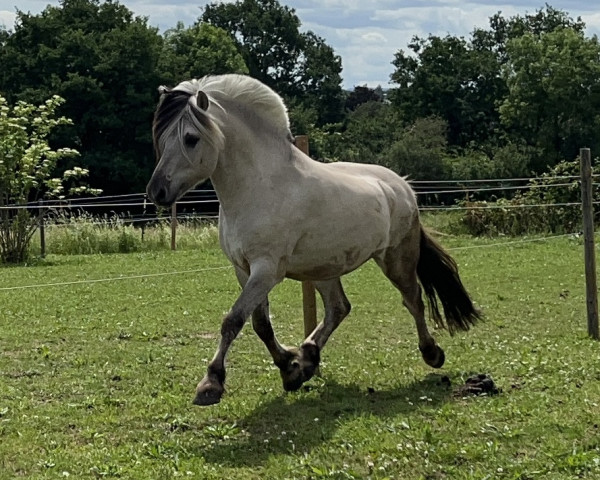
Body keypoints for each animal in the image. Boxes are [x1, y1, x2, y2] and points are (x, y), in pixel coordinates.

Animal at [145, 74, 478, 404]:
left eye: (191, 138)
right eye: (160, 138)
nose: (156, 192)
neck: (260, 186)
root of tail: (403, 185)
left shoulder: (267, 270)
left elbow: (234, 320)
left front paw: (211, 383)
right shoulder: (244, 269)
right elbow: (260, 324)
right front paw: (290, 367)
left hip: (396, 258)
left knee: (413, 300)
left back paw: (431, 353)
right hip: (323, 268)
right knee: (339, 307)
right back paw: (308, 355)